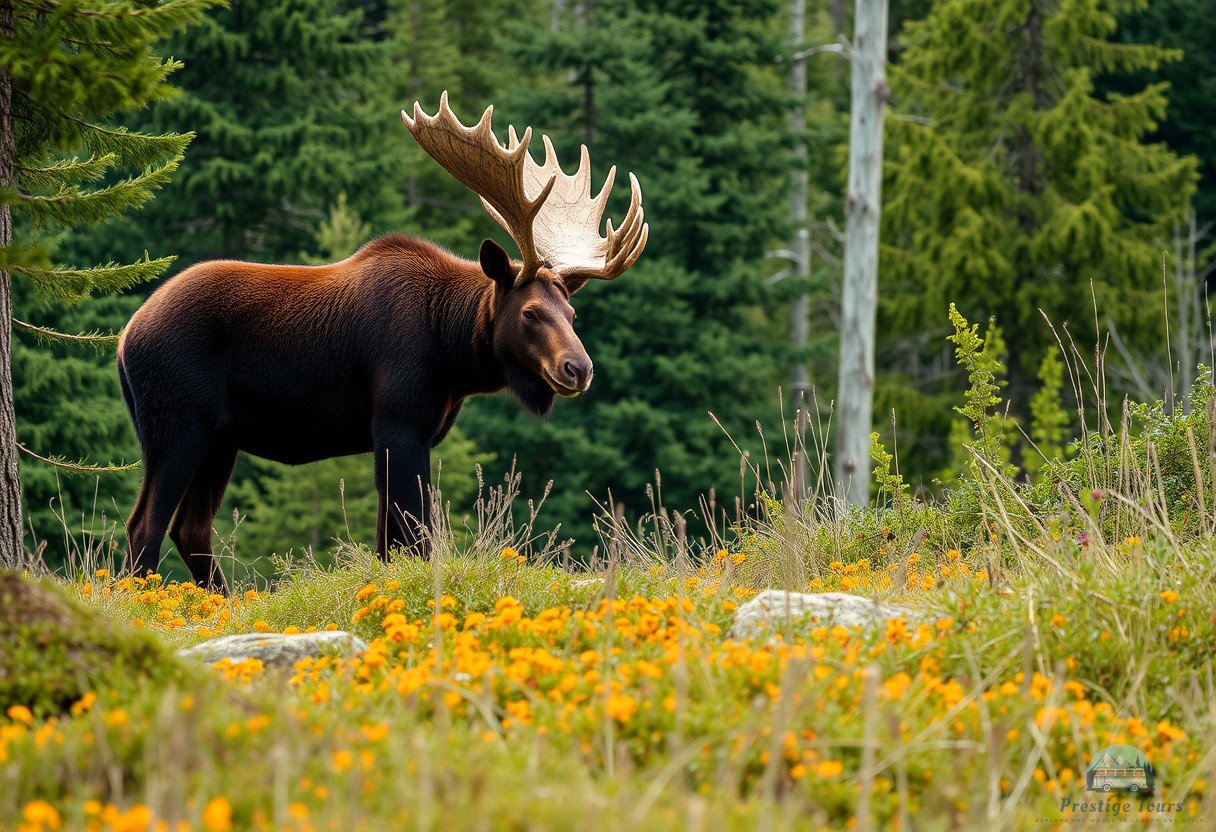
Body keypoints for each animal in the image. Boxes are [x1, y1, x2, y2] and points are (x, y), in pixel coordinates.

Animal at [116, 96, 646, 591]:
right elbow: (417, 540)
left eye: (572, 314)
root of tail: (124, 341)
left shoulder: (401, 433)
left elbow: (388, 546)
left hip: (220, 440)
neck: (452, 351)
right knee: (144, 526)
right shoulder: (399, 422)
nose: (578, 368)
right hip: (177, 425)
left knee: (190, 529)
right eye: (530, 312)